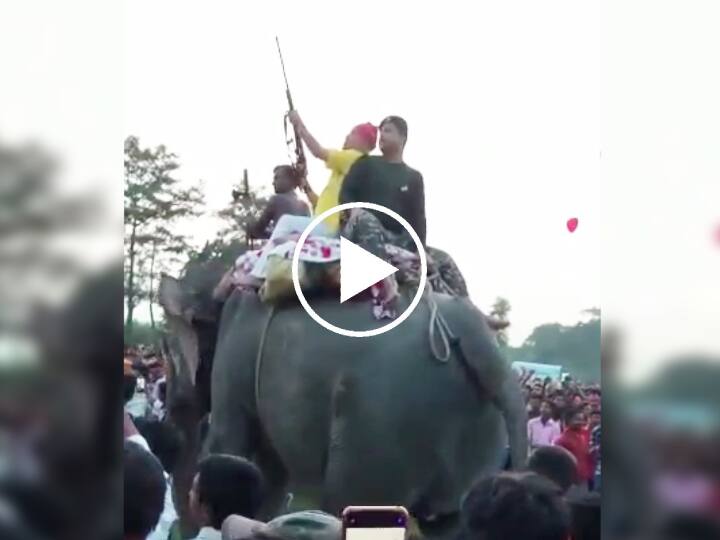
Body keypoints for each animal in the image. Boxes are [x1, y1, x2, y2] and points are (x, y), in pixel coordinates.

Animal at [159, 262, 528, 536]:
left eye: (169, 353)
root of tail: (482, 343)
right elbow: (270, 472)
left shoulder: (235, 359)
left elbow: (229, 445)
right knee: (446, 521)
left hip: (383, 420)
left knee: (352, 504)